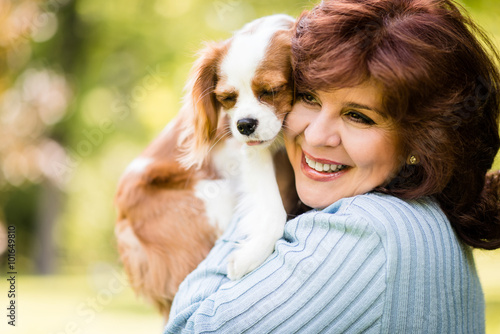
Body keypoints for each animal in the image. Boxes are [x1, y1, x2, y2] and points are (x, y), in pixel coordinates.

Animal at [115, 13, 298, 318]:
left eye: (270, 91)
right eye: (227, 99)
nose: (244, 125)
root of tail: (121, 218)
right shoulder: (253, 152)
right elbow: (273, 212)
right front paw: (250, 256)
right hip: (212, 198)